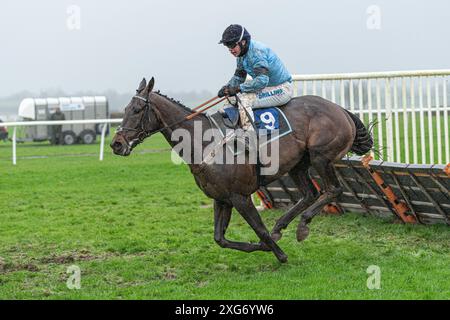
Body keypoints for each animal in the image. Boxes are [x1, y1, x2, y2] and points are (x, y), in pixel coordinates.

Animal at [111, 78, 372, 262]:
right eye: (125, 108)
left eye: (137, 110)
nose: (116, 144)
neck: (204, 142)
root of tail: (340, 109)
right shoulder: (221, 198)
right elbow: (220, 238)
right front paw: (263, 246)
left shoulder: (240, 197)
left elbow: (260, 230)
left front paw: (279, 254)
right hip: (299, 165)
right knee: (310, 194)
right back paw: (282, 226)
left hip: (321, 157)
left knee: (333, 190)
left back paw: (302, 226)